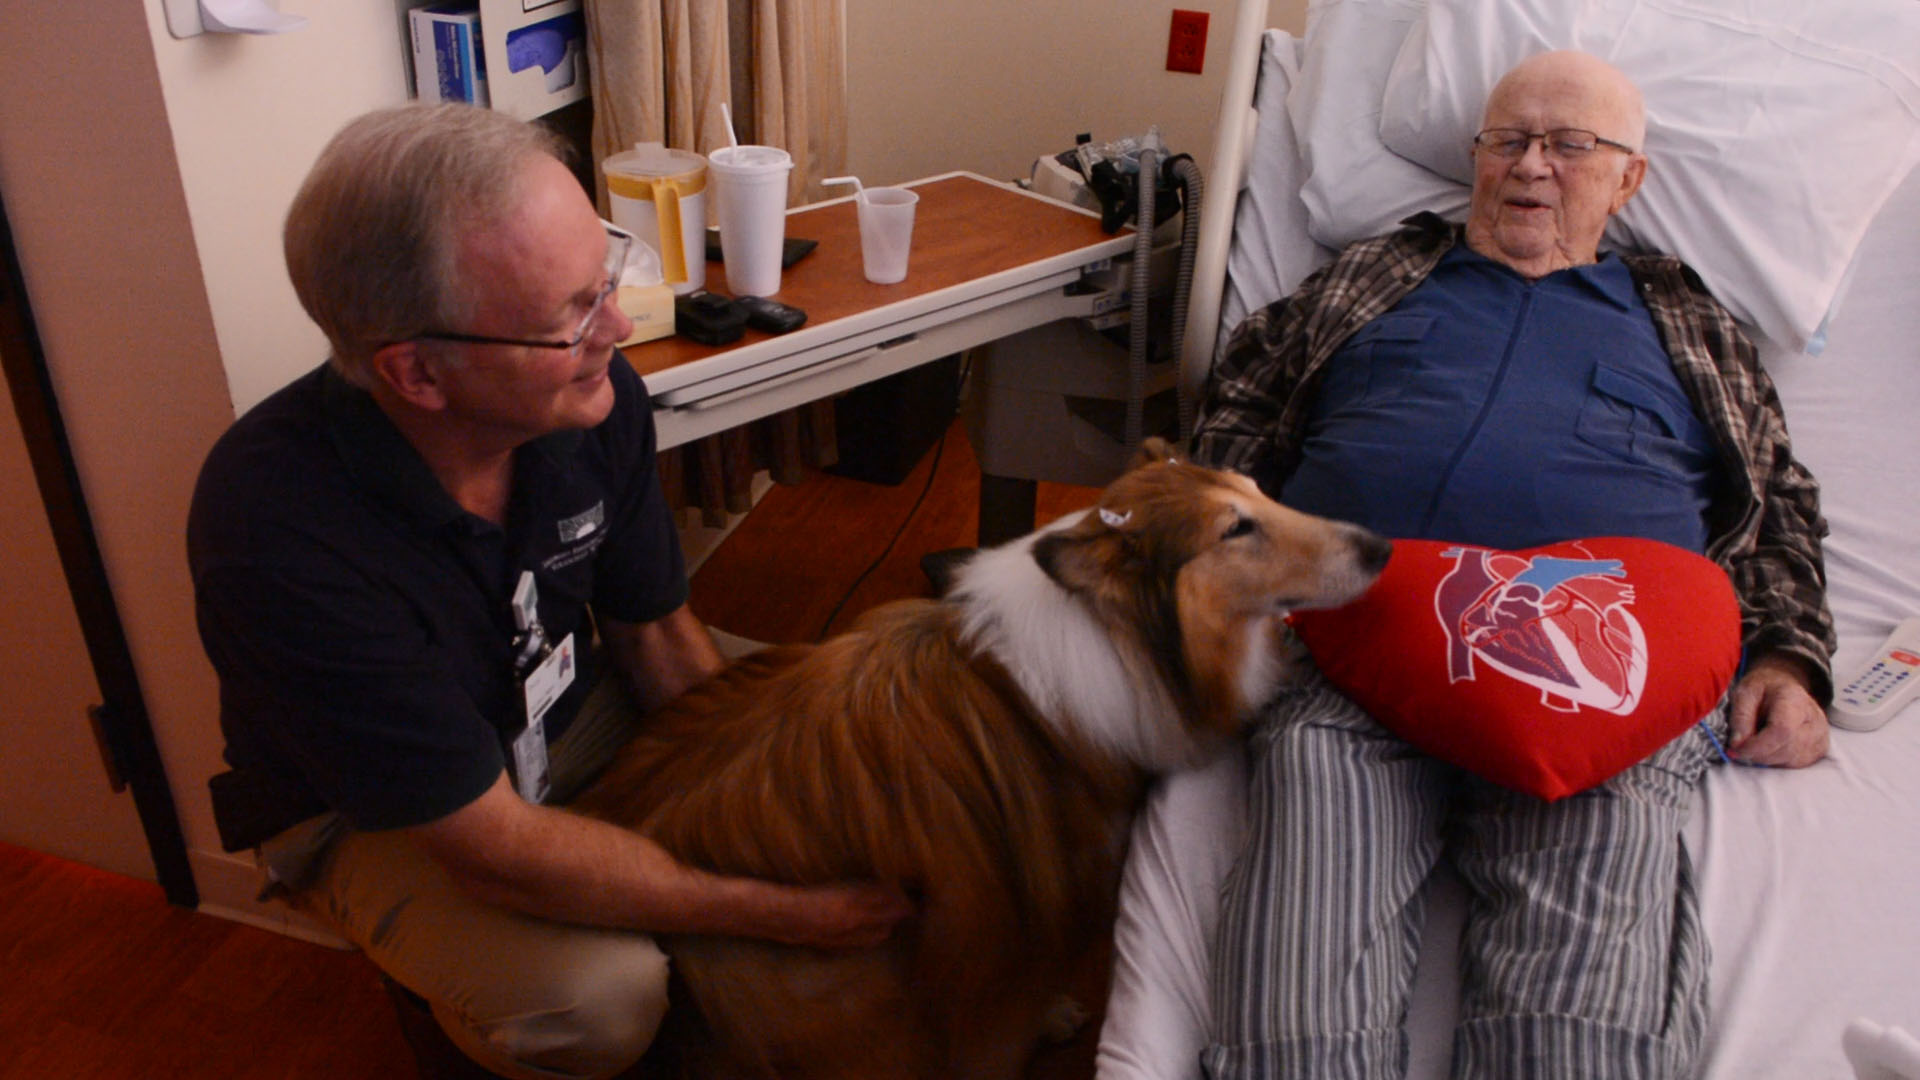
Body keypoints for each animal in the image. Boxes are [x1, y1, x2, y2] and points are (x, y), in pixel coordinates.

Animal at [560, 440, 1390, 1076]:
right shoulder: (1001, 937)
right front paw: (1044, 1023)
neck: (1118, 635)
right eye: (1235, 529)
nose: (1383, 547)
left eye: (1256, 491)